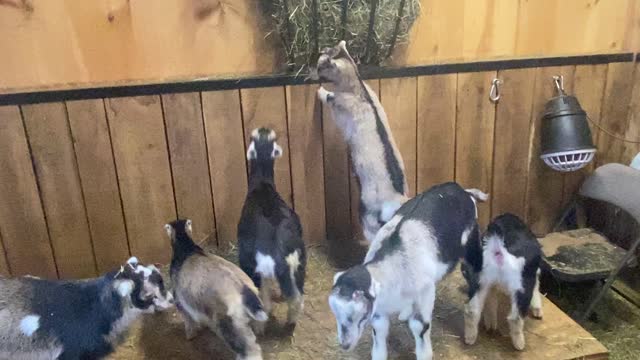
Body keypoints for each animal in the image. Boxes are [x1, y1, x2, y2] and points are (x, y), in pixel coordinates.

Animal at [168, 219, 268, 360]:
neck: (187, 249)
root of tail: (243, 288)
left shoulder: (179, 298)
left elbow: (188, 320)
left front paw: (190, 335)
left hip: (228, 323)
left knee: (250, 350)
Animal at [238, 126, 308, 330]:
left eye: (251, 138)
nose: (263, 129)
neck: (262, 185)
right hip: (299, 264)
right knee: (297, 297)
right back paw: (291, 322)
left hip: (257, 270)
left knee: (264, 304)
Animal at [312, 40, 408, 246]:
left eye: (322, 64)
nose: (314, 71)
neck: (359, 90)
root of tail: (396, 200)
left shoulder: (341, 105)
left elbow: (329, 98)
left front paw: (321, 91)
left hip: (367, 216)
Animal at [328, 183, 488, 360]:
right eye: (335, 313)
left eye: (357, 315)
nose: (345, 345)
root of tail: (463, 190)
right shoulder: (379, 307)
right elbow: (379, 330)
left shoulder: (424, 294)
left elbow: (419, 327)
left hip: (472, 247)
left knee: (477, 282)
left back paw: (471, 334)